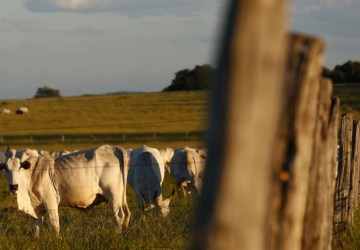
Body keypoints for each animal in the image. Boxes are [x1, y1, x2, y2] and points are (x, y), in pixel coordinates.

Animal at [0, 145, 131, 236]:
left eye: (20, 167)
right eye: (6, 168)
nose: (14, 186)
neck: (33, 174)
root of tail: (113, 148)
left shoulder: (51, 203)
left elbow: (55, 225)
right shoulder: (37, 207)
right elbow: (36, 226)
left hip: (114, 196)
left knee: (119, 216)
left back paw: (117, 235)